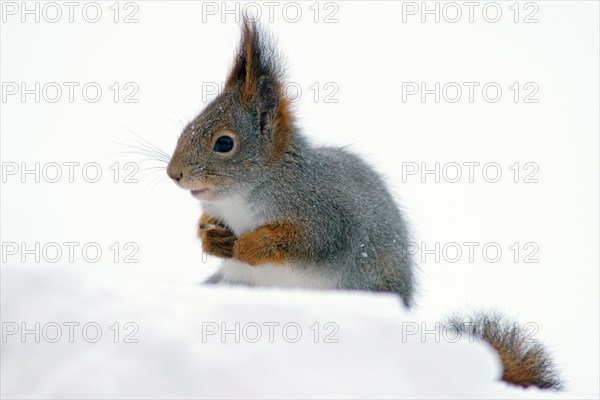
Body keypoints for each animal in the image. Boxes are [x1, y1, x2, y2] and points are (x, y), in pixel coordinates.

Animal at [168, 17, 564, 390]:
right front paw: (214, 239)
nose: (174, 174)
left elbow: (306, 243)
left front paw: (250, 246)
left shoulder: (327, 215)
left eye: (224, 143)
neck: (245, 194)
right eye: (188, 126)